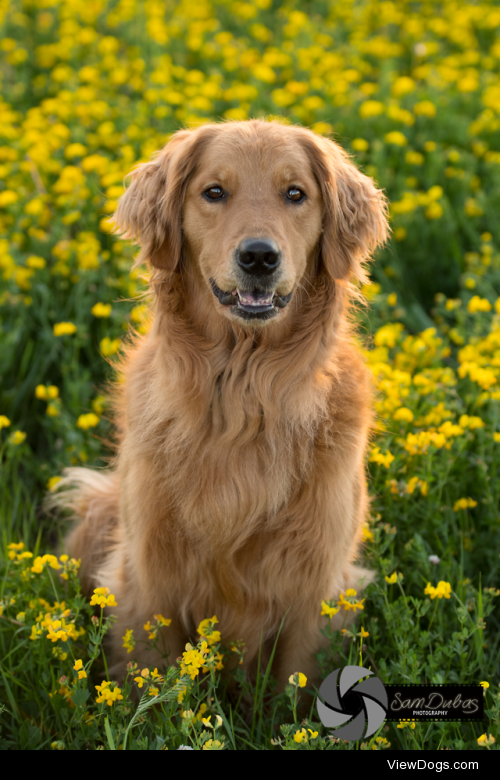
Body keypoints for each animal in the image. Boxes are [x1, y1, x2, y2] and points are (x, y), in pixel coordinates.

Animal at [55, 120, 390, 688]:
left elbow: (297, 689)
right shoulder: (148, 578)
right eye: (214, 192)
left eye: (295, 194)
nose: (258, 257)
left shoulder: (317, 590)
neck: (243, 396)